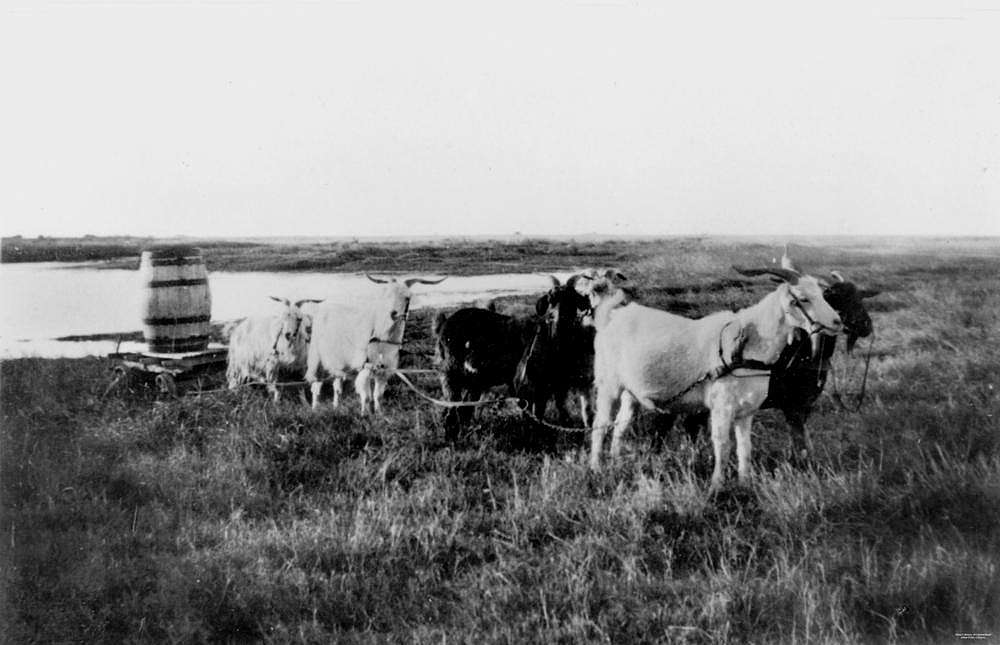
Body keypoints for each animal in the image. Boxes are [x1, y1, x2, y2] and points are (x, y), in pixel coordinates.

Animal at [304, 272, 446, 416]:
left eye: (407, 297)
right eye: (387, 295)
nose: (393, 314)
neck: (382, 336)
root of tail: (322, 305)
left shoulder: (385, 368)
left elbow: (378, 395)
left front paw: (379, 413)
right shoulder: (365, 366)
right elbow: (366, 395)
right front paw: (363, 415)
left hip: (339, 359)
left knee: (337, 384)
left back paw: (335, 407)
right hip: (316, 354)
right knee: (316, 383)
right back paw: (315, 408)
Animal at [580, 266, 844, 494]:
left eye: (822, 294)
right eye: (803, 298)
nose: (837, 322)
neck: (749, 345)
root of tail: (613, 317)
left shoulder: (746, 411)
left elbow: (745, 448)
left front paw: (745, 482)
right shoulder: (721, 406)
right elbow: (723, 445)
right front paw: (717, 485)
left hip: (630, 391)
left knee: (621, 425)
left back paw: (616, 462)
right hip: (608, 384)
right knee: (601, 424)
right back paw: (596, 468)